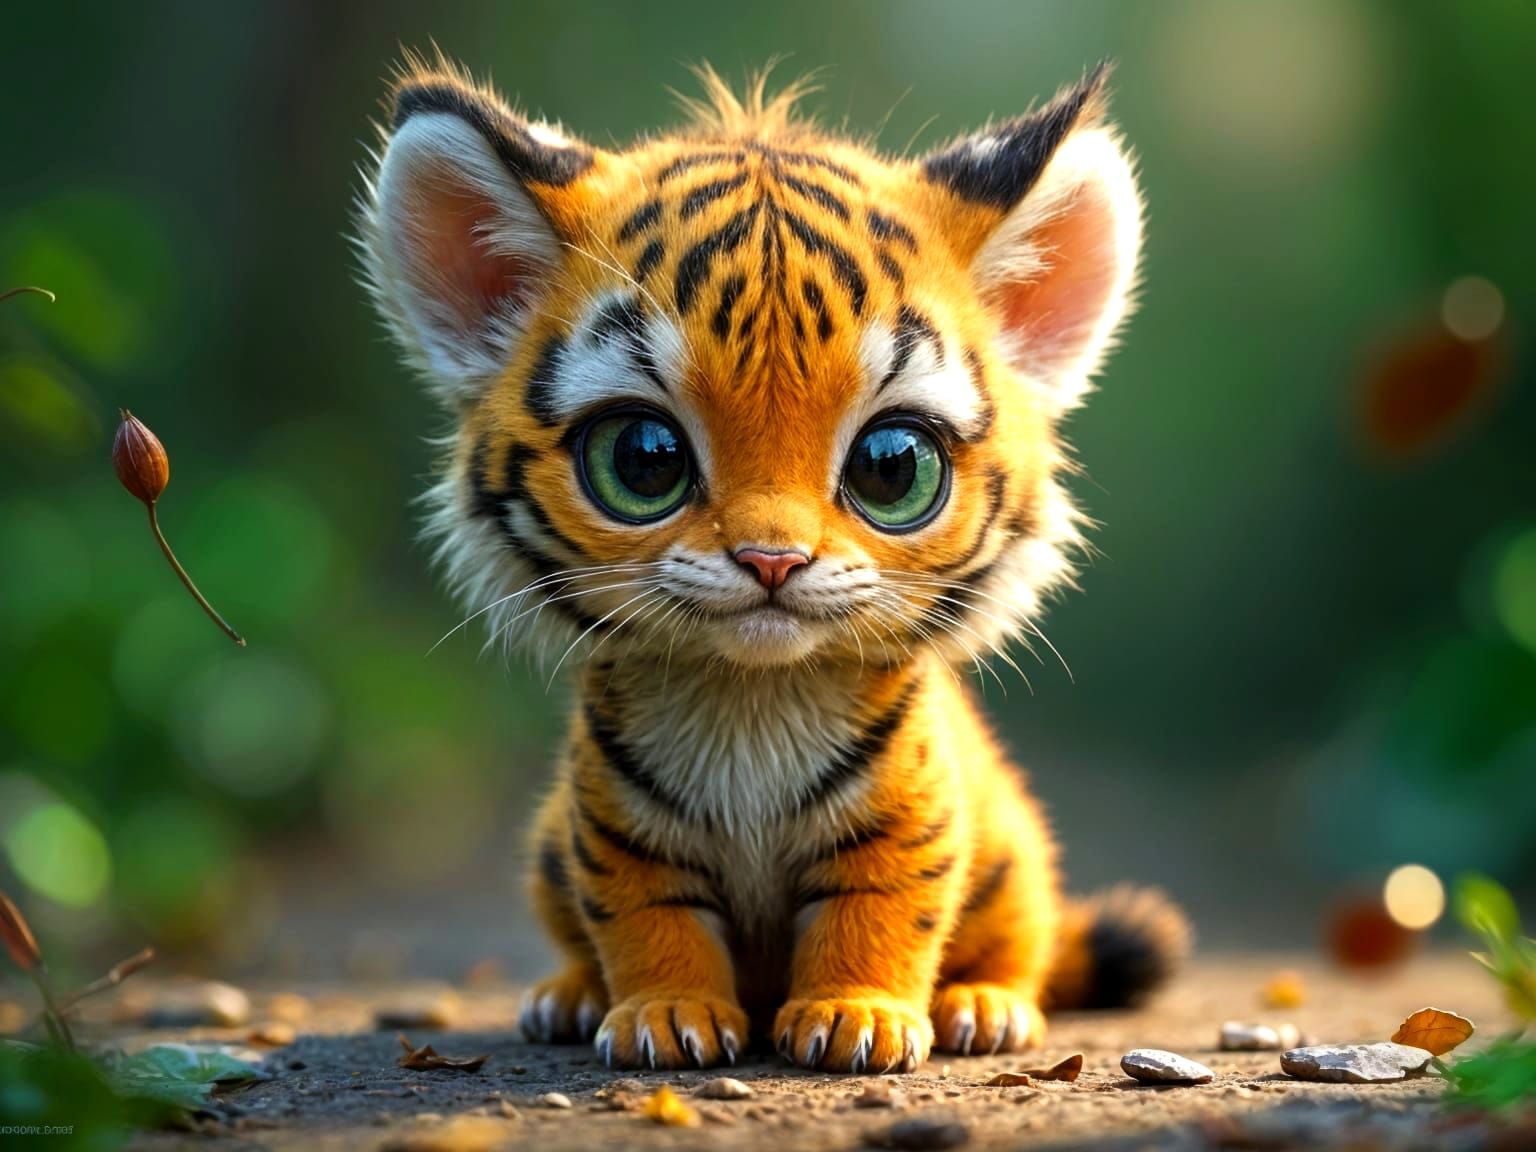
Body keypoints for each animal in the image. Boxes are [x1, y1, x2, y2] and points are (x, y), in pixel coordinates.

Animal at [358, 51, 1190, 1073]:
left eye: (891, 467)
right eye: (644, 458)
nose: (771, 558)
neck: (749, 703)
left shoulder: (912, 816)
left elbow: (882, 908)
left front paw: (858, 1016)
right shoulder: (610, 828)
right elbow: (644, 917)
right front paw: (664, 1013)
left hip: (1015, 858)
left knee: (1026, 946)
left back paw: (985, 1006)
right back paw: (568, 997)